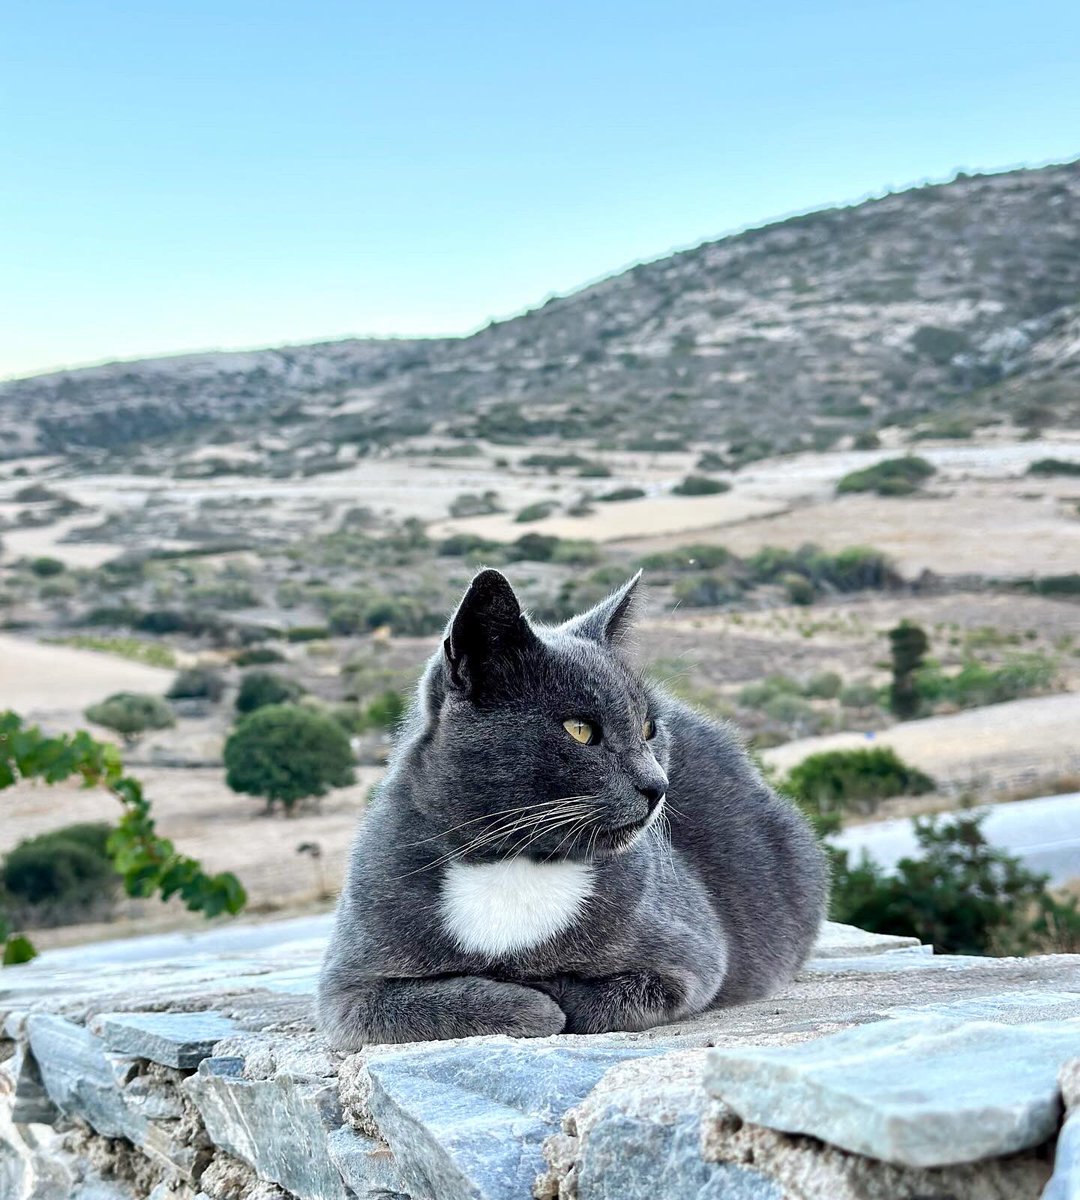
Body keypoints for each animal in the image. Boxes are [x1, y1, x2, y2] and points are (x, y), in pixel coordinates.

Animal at [316, 566, 830, 1046]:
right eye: (579, 730)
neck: (515, 864)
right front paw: (526, 1002)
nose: (658, 785)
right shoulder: (347, 987)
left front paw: (548, 990)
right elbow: (412, 1005)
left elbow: (604, 996)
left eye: (649, 729)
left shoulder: (693, 955)